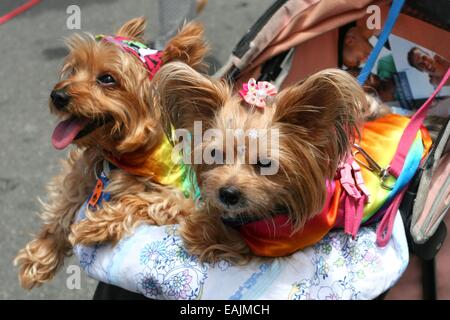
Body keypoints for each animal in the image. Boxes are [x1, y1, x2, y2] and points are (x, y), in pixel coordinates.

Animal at [14, 17, 207, 288]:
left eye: (107, 78)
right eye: (74, 70)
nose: (57, 95)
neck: (119, 156)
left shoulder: (185, 201)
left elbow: (142, 201)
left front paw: (92, 226)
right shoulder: (79, 171)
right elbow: (64, 202)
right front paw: (40, 255)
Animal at [153, 61, 370, 264]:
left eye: (266, 163)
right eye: (214, 154)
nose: (227, 194)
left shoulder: (277, 242)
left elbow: (229, 236)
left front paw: (197, 225)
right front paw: (170, 203)